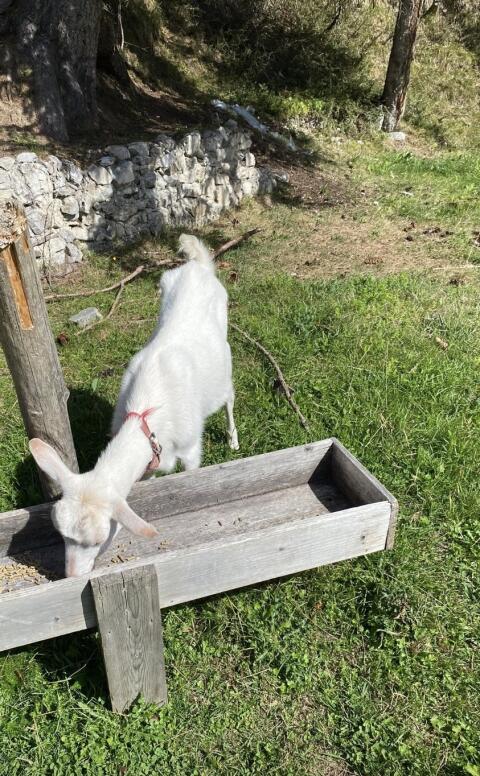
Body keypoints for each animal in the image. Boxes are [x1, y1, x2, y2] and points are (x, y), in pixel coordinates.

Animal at [29, 235, 239, 577]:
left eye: (98, 539)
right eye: (61, 534)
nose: (71, 576)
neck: (146, 414)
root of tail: (199, 265)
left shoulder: (191, 447)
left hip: (224, 360)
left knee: (229, 398)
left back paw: (234, 439)